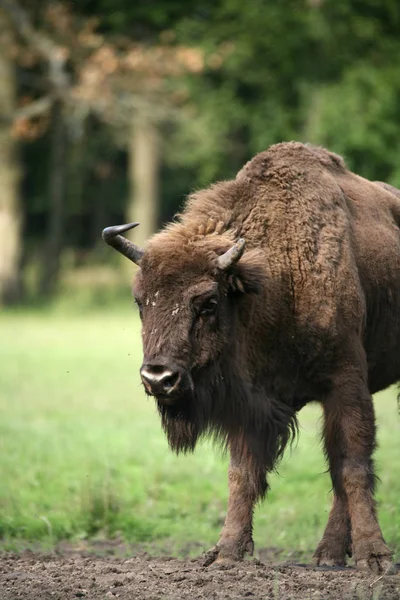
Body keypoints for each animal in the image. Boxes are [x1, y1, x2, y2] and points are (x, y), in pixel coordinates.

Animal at [103, 141, 400, 572]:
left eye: (208, 302)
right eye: (140, 301)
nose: (159, 378)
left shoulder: (346, 385)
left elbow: (352, 467)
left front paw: (375, 556)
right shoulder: (250, 404)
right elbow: (242, 474)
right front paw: (226, 552)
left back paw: (331, 553)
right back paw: (327, 554)